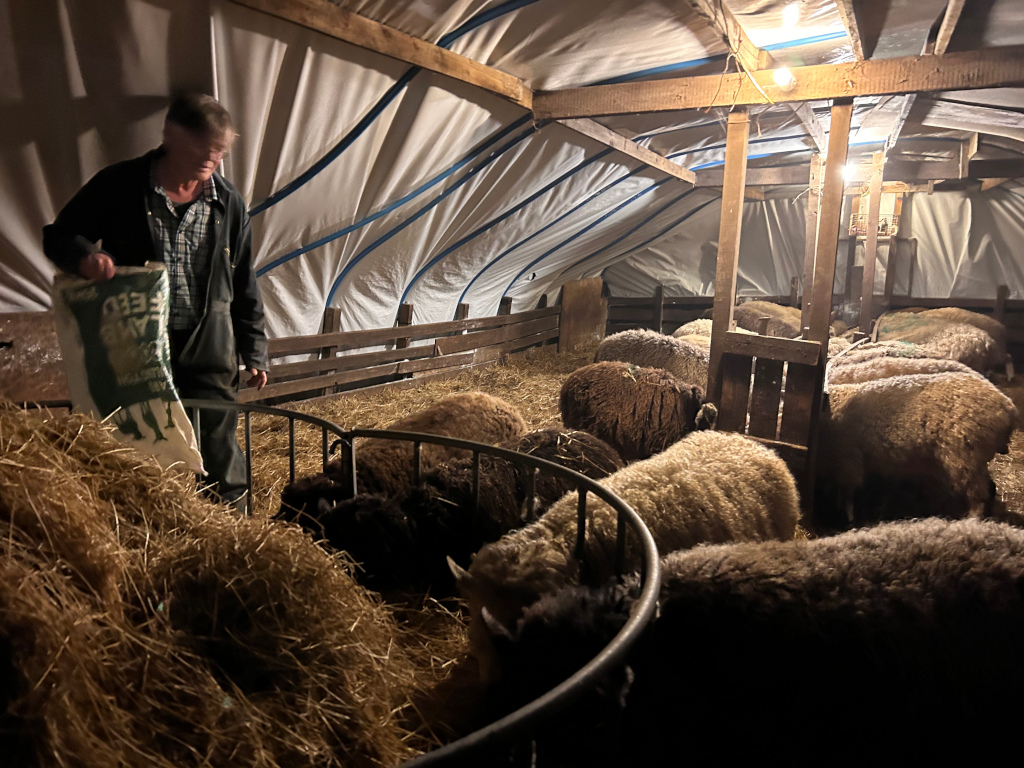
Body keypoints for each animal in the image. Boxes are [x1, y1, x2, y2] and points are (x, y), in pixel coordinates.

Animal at [815, 371, 1016, 530]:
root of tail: (1006, 404)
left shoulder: (848, 461)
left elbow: (847, 494)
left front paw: (848, 518)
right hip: (973, 458)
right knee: (990, 487)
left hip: (965, 456)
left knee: (979, 492)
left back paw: (973, 519)